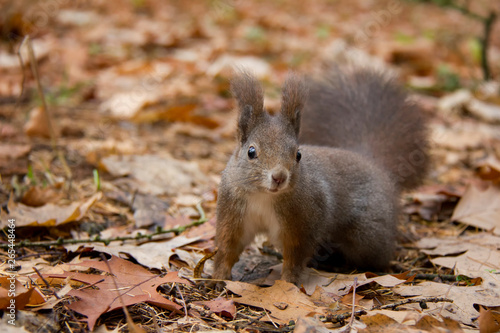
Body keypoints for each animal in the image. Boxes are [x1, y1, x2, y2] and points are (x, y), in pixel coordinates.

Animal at [213, 65, 428, 286]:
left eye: (298, 154)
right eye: (251, 152)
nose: (279, 177)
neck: (263, 196)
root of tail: (372, 162)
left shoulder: (303, 221)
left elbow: (296, 256)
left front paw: (288, 282)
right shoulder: (233, 212)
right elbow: (228, 246)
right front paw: (218, 277)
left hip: (367, 234)